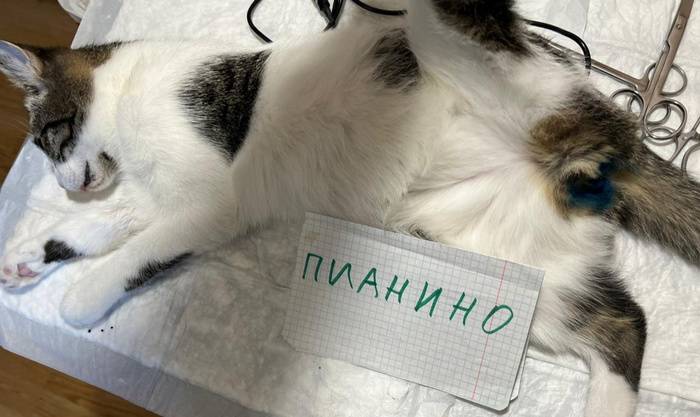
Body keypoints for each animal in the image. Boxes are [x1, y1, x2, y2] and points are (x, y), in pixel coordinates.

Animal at [2, 0, 700, 415]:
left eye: (48, 137)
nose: (66, 183)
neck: (128, 90)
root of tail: (609, 138)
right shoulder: (161, 198)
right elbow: (107, 227)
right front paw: (33, 254)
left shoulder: (212, 198)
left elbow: (140, 250)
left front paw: (82, 297)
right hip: (519, 259)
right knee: (623, 324)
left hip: (514, 87)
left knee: (482, 29)